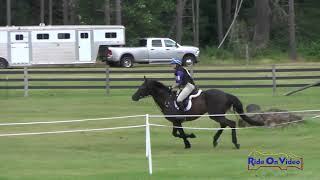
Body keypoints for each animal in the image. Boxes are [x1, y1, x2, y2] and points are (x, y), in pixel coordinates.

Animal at [131, 77, 264, 149]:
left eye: (141, 88)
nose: (133, 97)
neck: (167, 99)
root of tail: (226, 94)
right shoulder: (176, 121)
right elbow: (177, 133)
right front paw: (187, 143)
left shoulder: (176, 121)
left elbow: (179, 134)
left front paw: (190, 138)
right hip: (217, 115)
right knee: (224, 125)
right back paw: (215, 140)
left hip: (215, 115)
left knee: (231, 124)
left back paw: (235, 143)